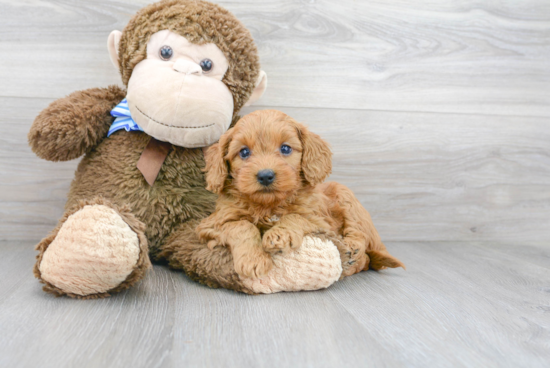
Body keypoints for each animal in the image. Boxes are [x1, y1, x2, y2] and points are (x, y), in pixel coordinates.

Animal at [198, 110, 406, 278]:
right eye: (244, 152)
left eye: (285, 148)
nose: (265, 176)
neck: (269, 205)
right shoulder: (210, 224)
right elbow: (242, 225)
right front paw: (253, 260)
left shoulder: (321, 222)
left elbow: (295, 217)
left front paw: (279, 235)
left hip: (345, 195)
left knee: (362, 245)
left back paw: (351, 249)